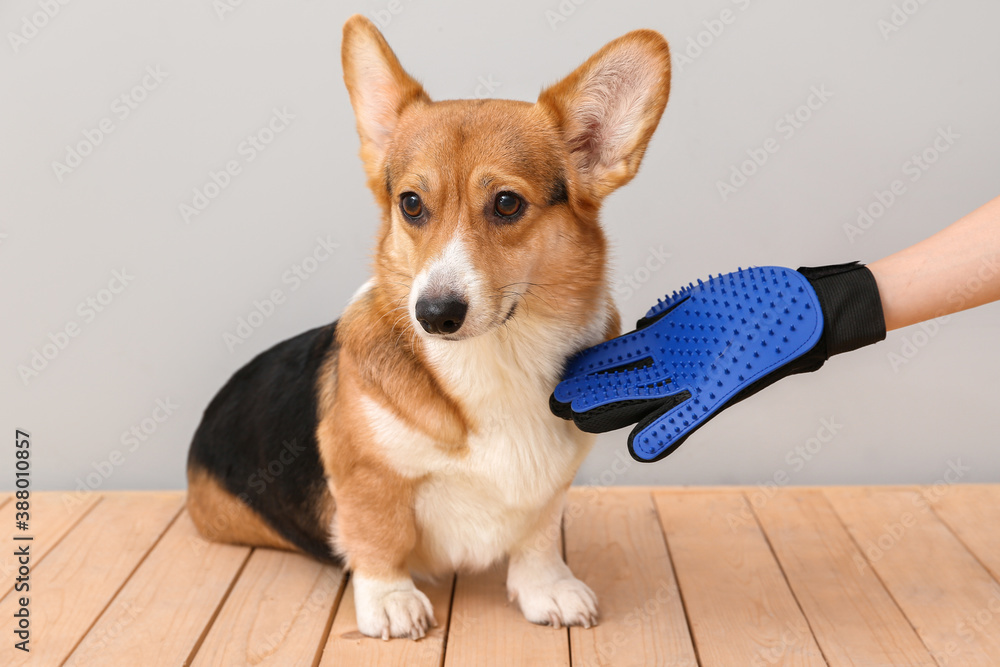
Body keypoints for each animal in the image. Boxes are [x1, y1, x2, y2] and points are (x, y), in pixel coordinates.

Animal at [188, 15, 672, 640]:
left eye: (507, 203)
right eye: (411, 203)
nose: (435, 314)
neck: (499, 357)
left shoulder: (551, 486)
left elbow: (538, 536)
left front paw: (548, 589)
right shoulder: (364, 472)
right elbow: (380, 536)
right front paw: (391, 601)